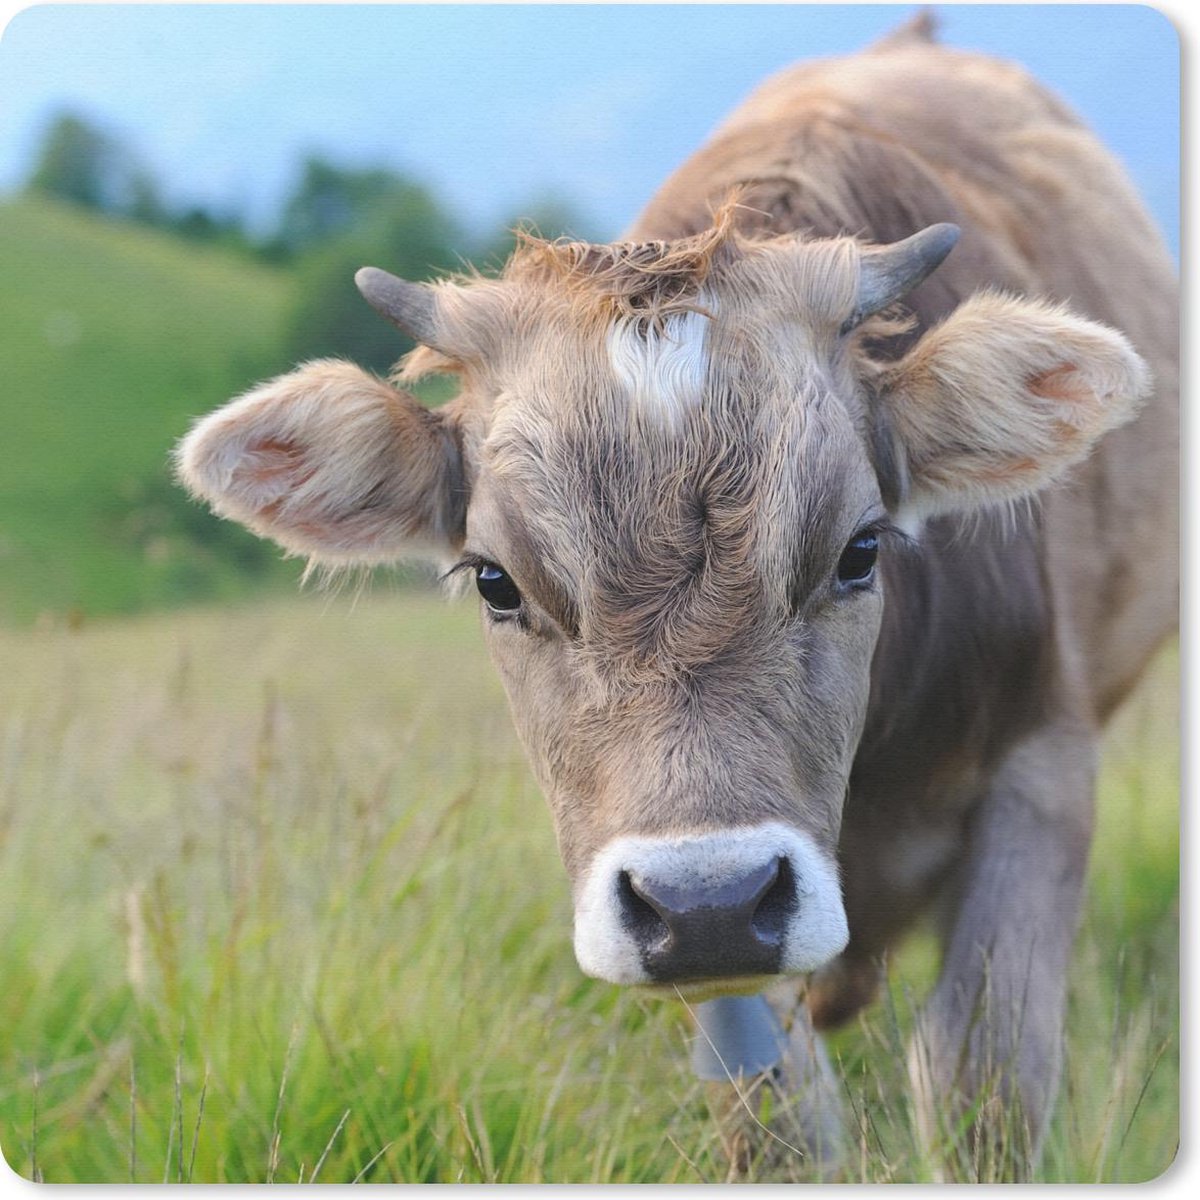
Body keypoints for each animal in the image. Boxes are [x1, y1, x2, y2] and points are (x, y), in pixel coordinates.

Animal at [175, 11, 1177, 1179]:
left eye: (860, 551)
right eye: (495, 581)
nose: (710, 904)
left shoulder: (1045, 760)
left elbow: (986, 1081)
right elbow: (780, 1123)